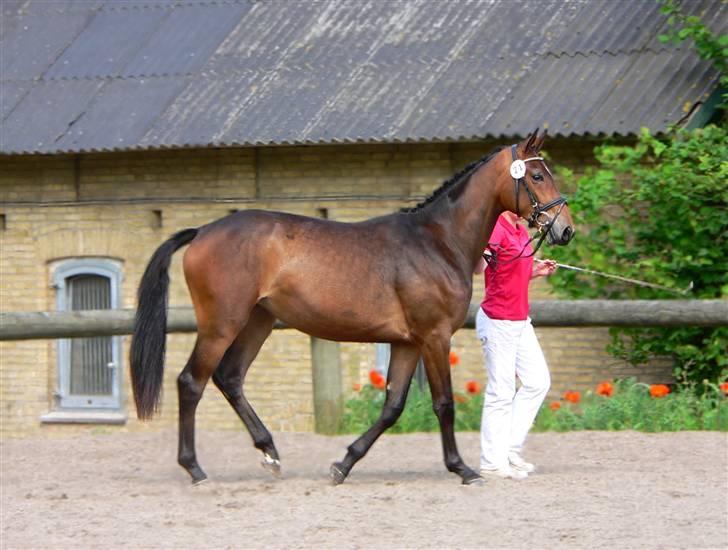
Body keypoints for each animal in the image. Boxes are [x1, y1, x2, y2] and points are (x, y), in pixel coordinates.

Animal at [131, 129, 576, 488]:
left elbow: (393, 407)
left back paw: (270, 453)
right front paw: (462, 469)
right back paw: (195, 469)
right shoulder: (434, 336)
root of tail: (203, 231)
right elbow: (444, 404)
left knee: (230, 377)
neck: (436, 241)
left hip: (258, 320)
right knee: (191, 382)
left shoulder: (408, 342)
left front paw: (342, 465)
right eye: (537, 176)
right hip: (222, 324)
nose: (566, 229)